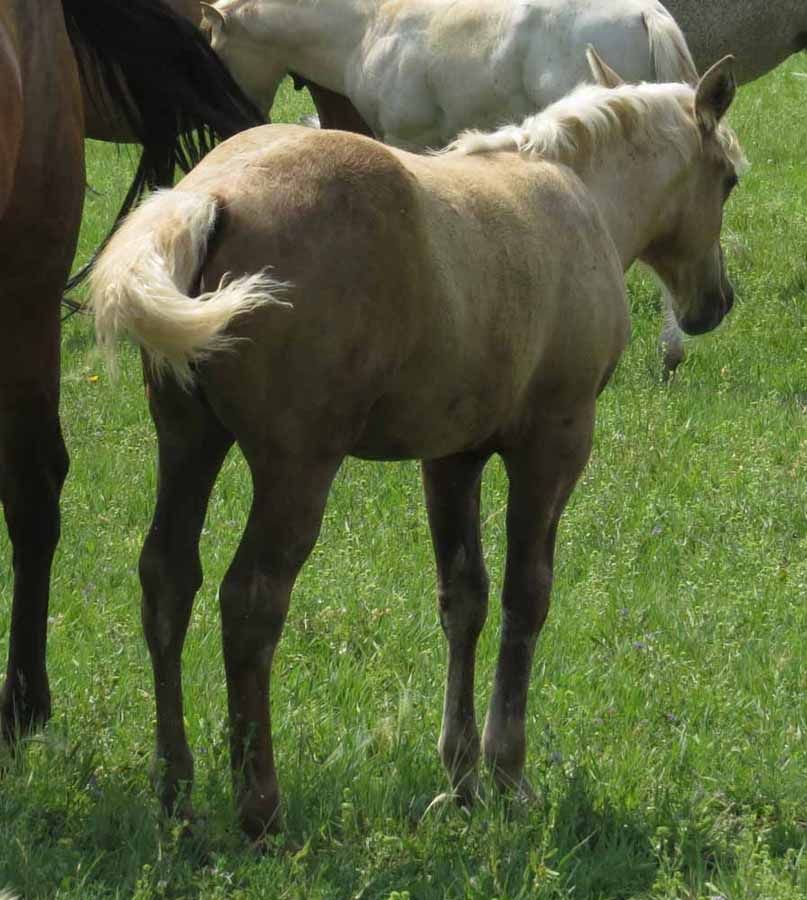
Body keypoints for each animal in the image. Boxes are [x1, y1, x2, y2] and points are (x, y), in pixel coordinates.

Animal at [90, 50, 744, 838]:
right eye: (729, 179)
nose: (714, 304)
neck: (578, 197)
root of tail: (210, 195)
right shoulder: (554, 442)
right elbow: (527, 597)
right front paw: (508, 775)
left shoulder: (452, 454)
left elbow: (463, 598)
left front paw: (459, 780)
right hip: (296, 465)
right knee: (251, 599)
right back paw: (260, 809)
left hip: (188, 441)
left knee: (167, 578)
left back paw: (176, 793)